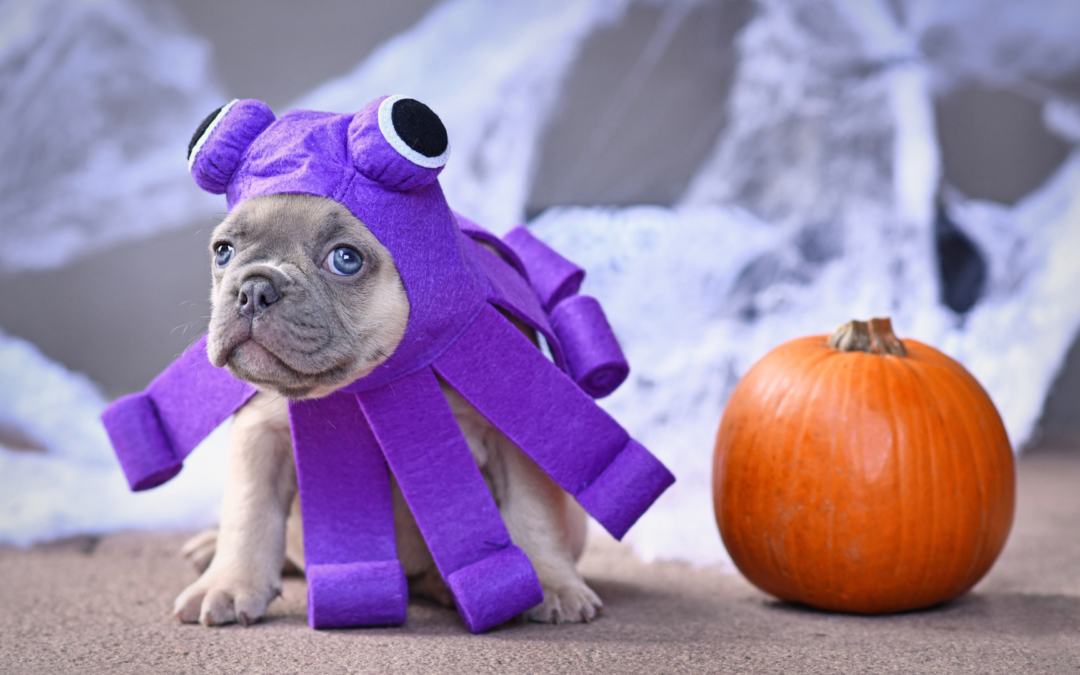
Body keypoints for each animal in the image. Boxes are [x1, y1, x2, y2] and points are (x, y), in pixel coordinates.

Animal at [172, 193, 604, 626]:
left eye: (345, 259)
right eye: (223, 252)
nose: (254, 289)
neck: (370, 382)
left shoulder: (514, 433)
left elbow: (533, 511)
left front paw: (553, 583)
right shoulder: (260, 434)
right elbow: (248, 511)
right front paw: (227, 584)